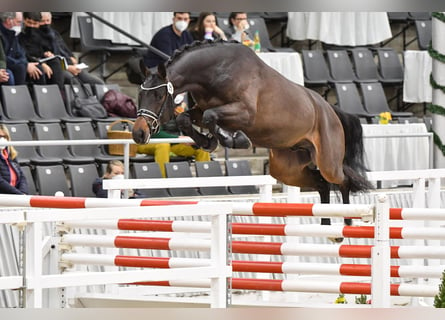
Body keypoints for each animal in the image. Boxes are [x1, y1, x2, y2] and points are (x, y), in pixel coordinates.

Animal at [134, 40, 372, 238]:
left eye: (158, 96)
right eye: (139, 94)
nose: (138, 133)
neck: (217, 72)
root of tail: (330, 109)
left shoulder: (245, 112)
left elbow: (211, 117)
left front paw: (235, 139)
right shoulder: (201, 110)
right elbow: (186, 118)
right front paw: (209, 141)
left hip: (327, 161)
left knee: (342, 181)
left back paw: (347, 223)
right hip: (288, 168)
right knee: (321, 184)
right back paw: (327, 227)